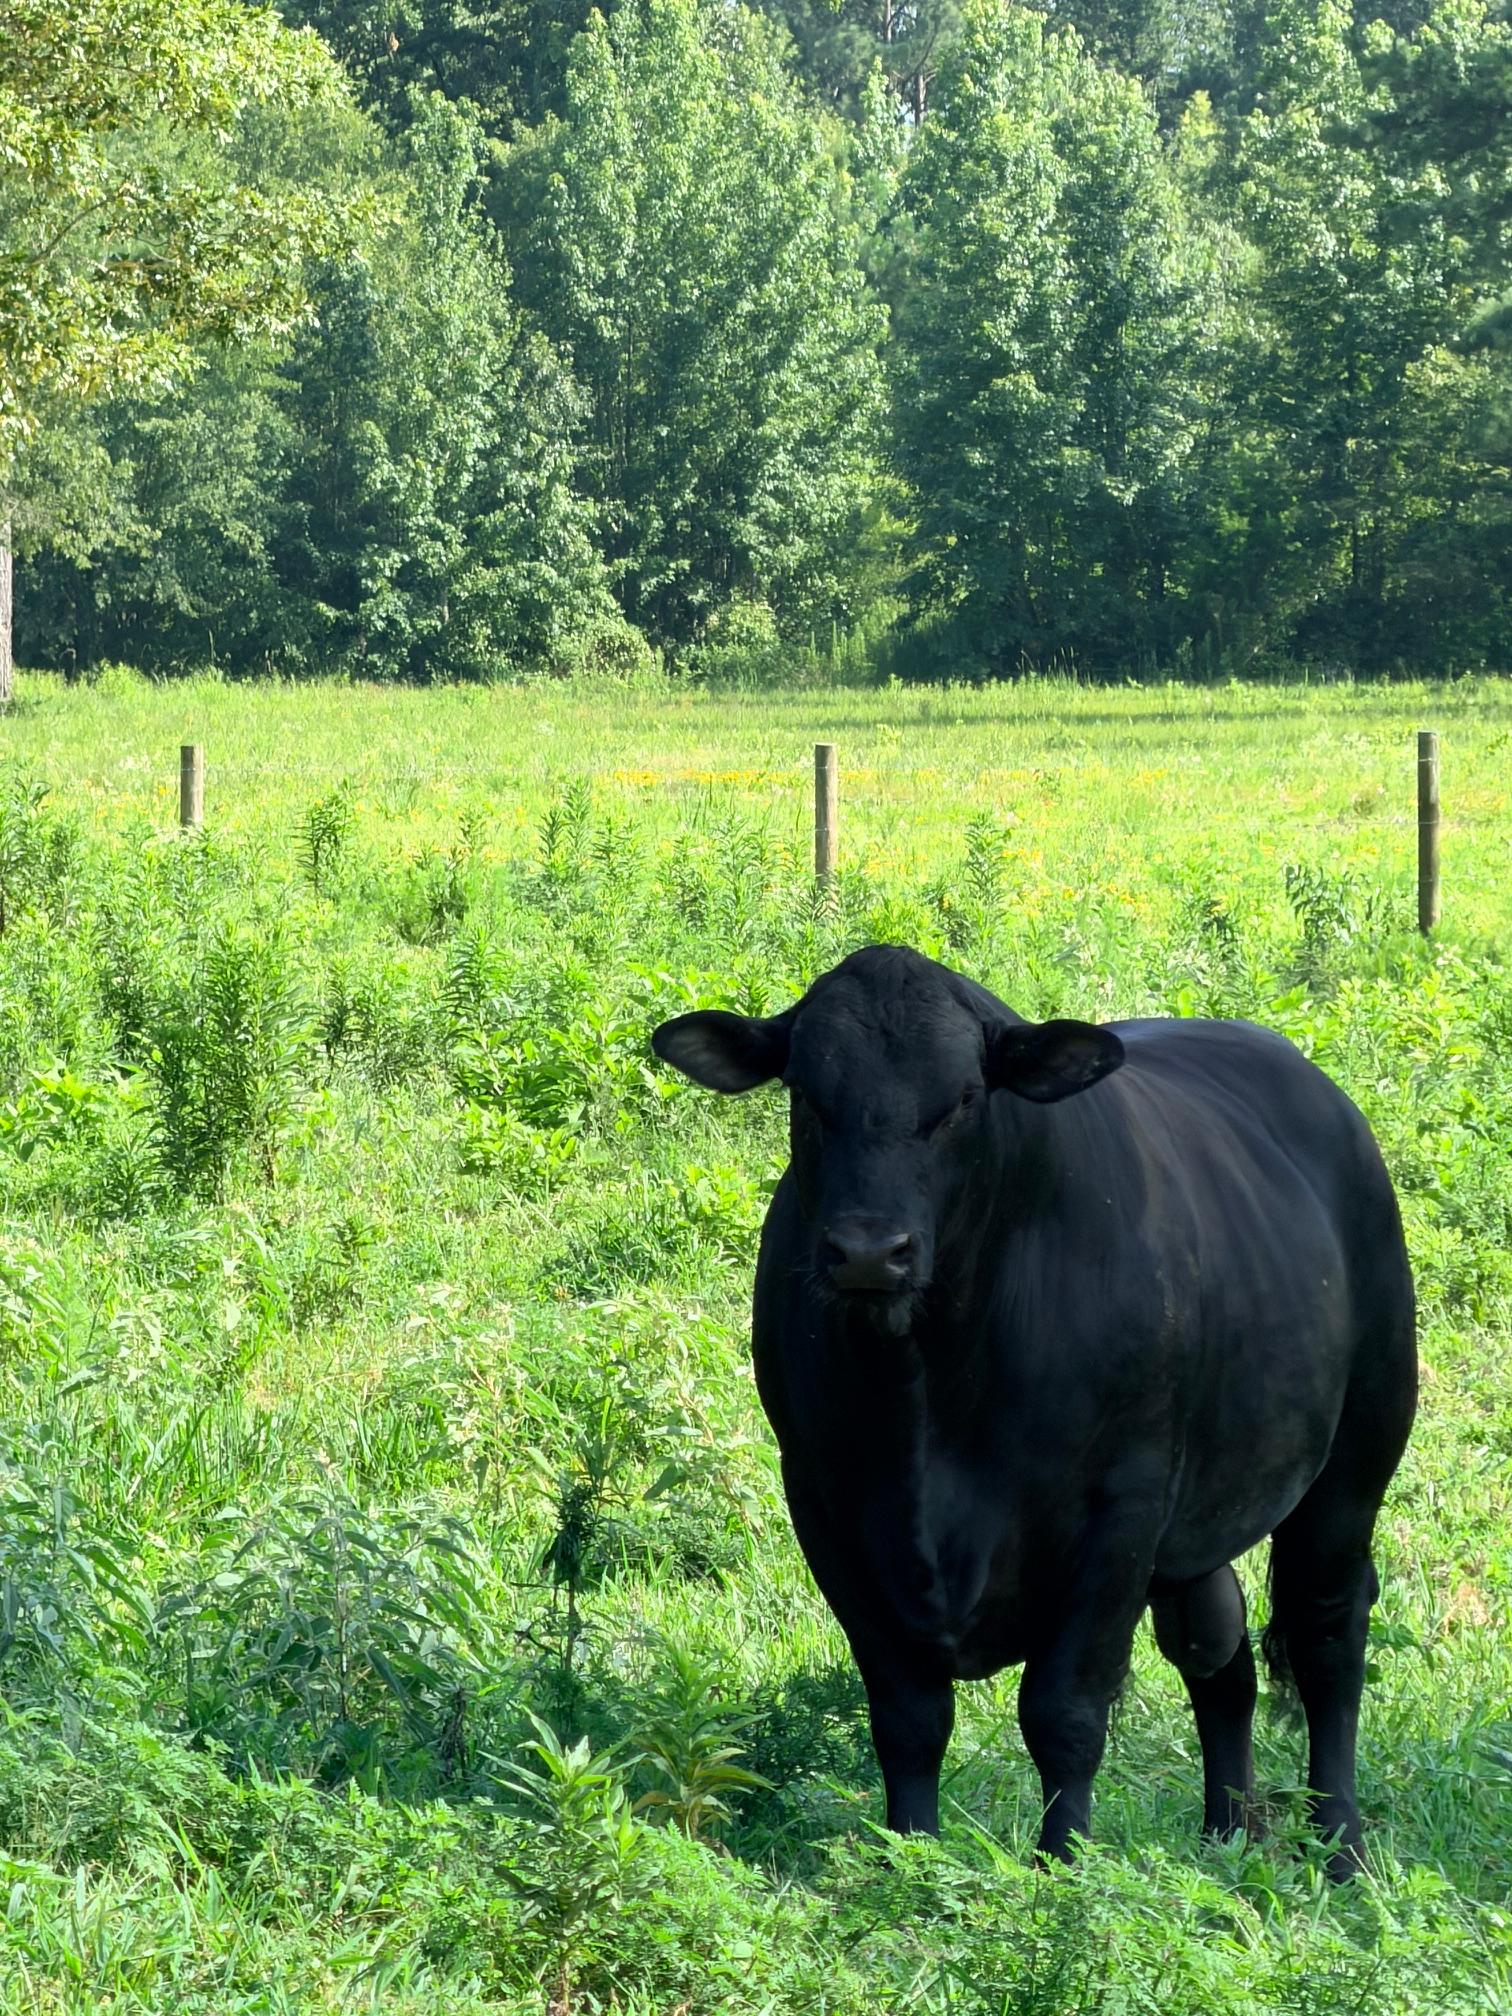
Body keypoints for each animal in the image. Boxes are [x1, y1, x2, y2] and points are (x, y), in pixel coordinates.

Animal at [651, 944, 1416, 1876]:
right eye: (806, 1093)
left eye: (962, 1099)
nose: (869, 1251)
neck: (928, 1387)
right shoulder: (826, 1505)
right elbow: (909, 1717)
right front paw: (913, 1860)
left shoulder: (1120, 1512)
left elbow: (1063, 1713)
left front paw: (1062, 1870)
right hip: (1204, 1521)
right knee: (1219, 1658)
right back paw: (1226, 1836)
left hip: (1355, 1461)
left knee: (1326, 1638)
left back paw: (1341, 1847)